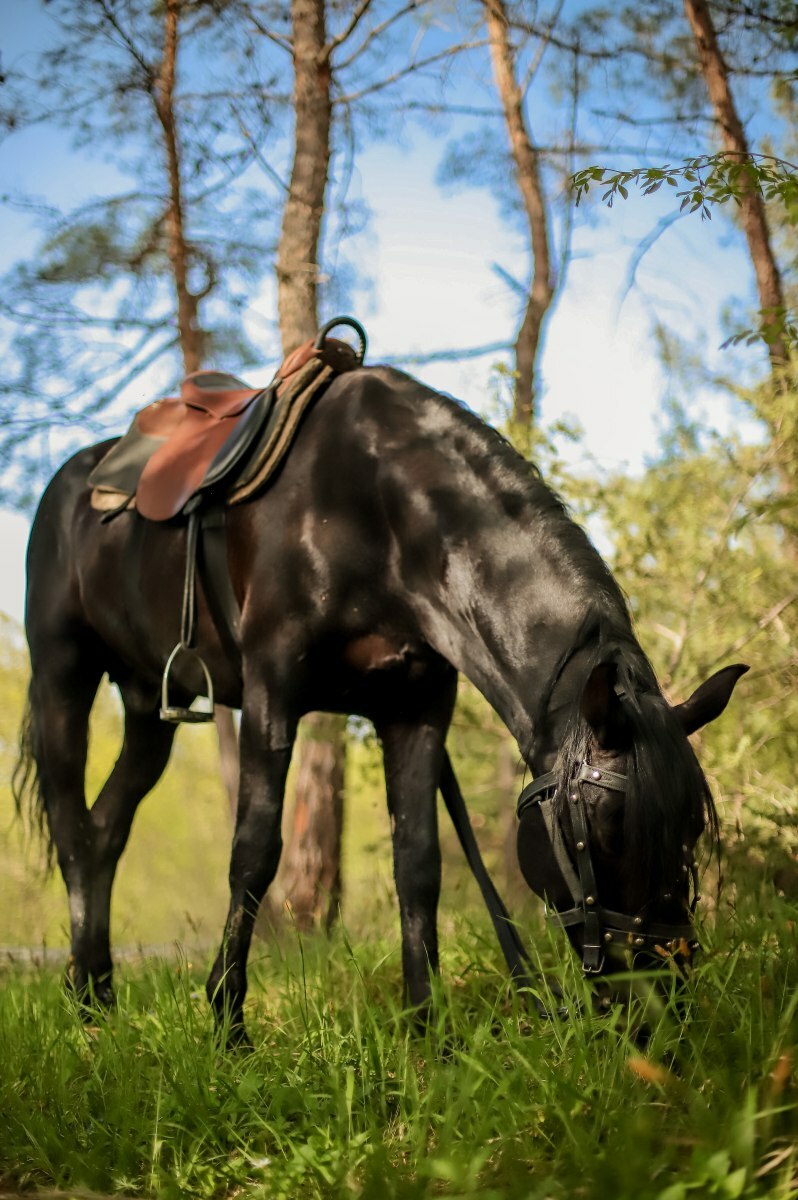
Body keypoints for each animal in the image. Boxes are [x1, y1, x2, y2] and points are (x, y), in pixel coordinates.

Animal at [15, 364, 744, 1041]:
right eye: (607, 833)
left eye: (690, 828)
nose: (665, 1001)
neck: (382, 512)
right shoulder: (271, 689)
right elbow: (253, 854)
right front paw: (227, 1023)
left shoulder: (415, 709)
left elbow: (417, 863)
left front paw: (429, 1032)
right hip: (63, 677)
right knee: (74, 832)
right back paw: (85, 1008)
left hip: (146, 706)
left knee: (105, 831)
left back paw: (96, 994)